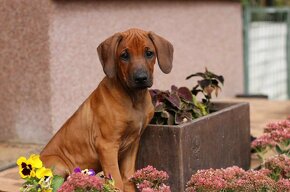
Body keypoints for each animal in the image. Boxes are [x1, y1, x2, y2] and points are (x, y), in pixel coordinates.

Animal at [39, 28, 173, 190]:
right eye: (124, 55)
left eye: (149, 53)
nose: (141, 78)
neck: (134, 98)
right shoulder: (107, 145)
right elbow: (116, 181)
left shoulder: (133, 143)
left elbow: (128, 178)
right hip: (57, 164)